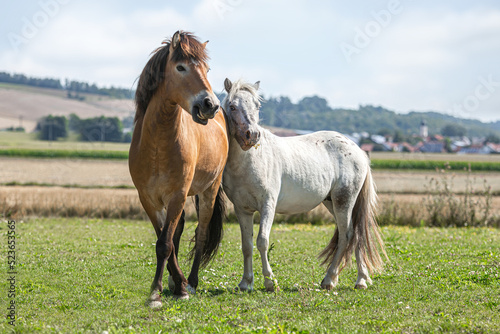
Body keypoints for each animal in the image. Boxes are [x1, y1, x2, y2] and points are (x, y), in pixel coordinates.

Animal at [130, 32, 229, 308]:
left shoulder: (177, 195)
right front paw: (171, 285)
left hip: (208, 191)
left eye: (206, 69)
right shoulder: (149, 200)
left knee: (202, 233)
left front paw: (164, 290)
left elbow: (165, 243)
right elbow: (166, 241)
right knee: (179, 231)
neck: (157, 146)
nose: (210, 105)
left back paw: (192, 282)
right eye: (181, 67)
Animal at [222, 79, 386, 292]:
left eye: (257, 106)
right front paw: (245, 283)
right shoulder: (242, 210)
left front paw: (270, 281)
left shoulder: (268, 206)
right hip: (332, 203)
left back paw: (330, 279)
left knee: (347, 235)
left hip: (344, 201)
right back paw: (360, 280)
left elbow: (262, 241)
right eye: (233, 106)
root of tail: (358, 150)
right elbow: (247, 245)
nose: (253, 135)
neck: (250, 160)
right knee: (355, 235)